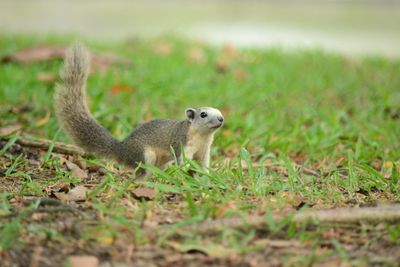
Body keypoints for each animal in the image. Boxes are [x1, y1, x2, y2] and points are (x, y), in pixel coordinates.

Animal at [55, 43, 225, 179]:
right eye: (203, 114)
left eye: (219, 111)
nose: (221, 119)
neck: (202, 137)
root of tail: (122, 149)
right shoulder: (182, 145)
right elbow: (183, 163)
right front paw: (183, 176)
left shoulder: (204, 151)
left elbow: (204, 166)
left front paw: (207, 177)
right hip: (144, 155)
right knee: (140, 172)